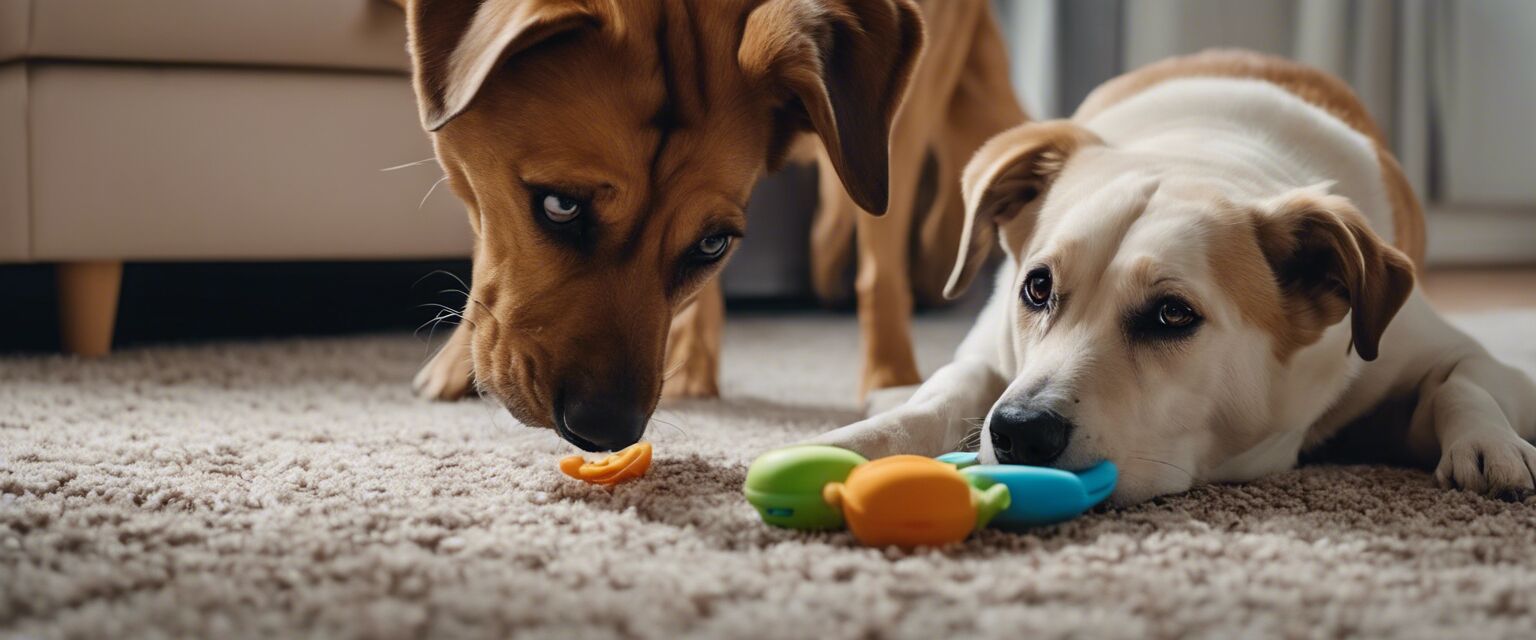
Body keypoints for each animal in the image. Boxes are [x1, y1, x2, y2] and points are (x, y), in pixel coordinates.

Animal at [817, 51, 1536, 503]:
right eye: (1038, 288)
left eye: (1172, 314)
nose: (1019, 429)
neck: (1203, 151)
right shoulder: (990, 353)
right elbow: (942, 395)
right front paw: (854, 442)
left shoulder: (1445, 354)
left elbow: (1464, 380)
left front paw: (1490, 445)